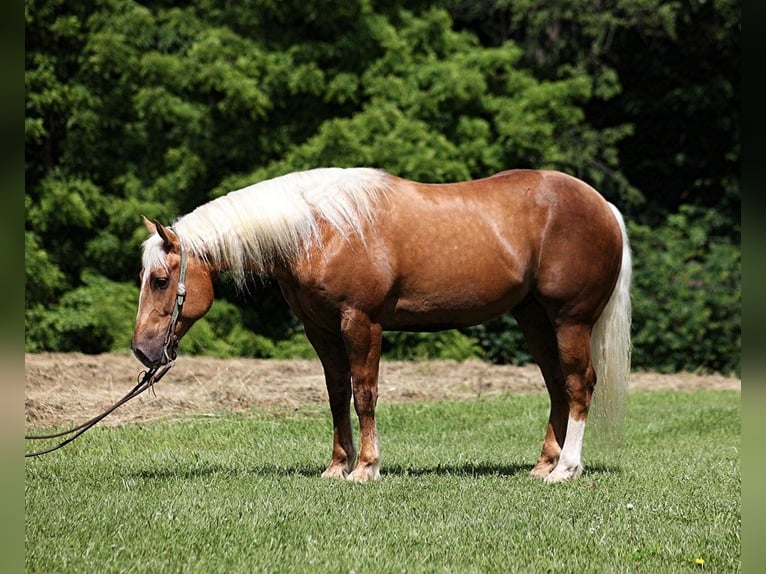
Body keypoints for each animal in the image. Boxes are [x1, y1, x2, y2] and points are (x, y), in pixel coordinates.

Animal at [132, 167, 631, 483]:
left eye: (160, 280)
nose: (142, 350)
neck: (322, 228)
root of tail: (604, 206)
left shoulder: (361, 322)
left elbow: (364, 393)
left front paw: (366, 467)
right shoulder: (321, 330)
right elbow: (337, 394)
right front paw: (337, 466)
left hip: (570, 320)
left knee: (579, 383)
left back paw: (566, 470)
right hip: (534, 318)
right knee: (556, 385)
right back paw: (545, 464)